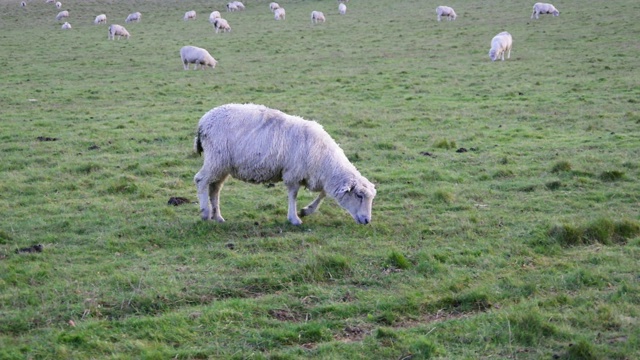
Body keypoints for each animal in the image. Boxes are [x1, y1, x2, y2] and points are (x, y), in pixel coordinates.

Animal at [192, 102, 378, 224]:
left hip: (222, 165)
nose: (367, 220)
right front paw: (294, 218)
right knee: (201, 180)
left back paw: (218, 216)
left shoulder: (316, 175)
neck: (325, 160)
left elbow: (323, 193)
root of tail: (203, 122)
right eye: (359, 195)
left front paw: (307, 210)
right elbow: (293, 195)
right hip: (216, 159)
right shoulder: (294, 173)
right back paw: (205, 213)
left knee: (215, 189)